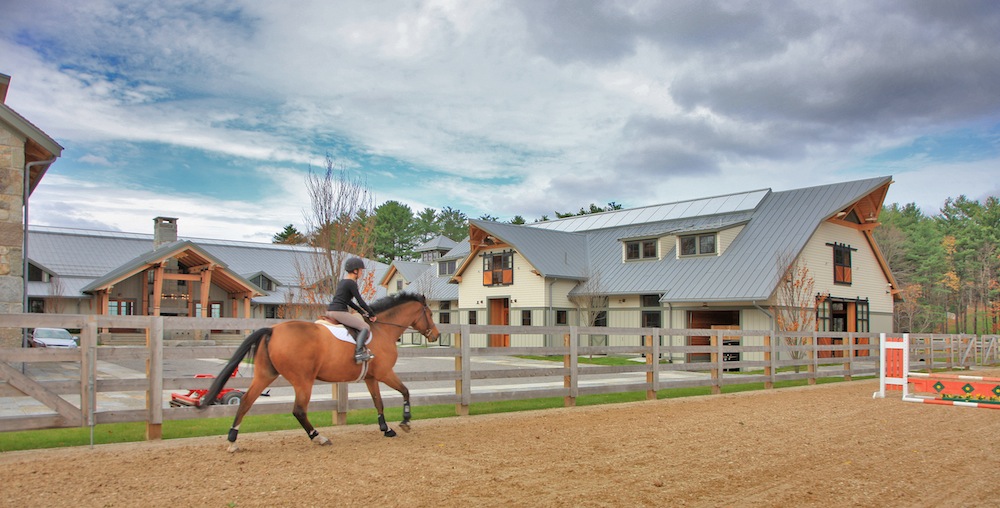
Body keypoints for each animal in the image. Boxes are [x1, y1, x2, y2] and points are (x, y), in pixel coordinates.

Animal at [197, 292, 440, 454]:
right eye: (429, 313)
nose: (436, 335)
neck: (382, 328)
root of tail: (273, 330)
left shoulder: (371, 378)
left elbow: (378, 402)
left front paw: (386, 428)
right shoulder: (385, 373)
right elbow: (405, 391)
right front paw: (405, 421)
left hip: (265, 375)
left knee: (246, 401)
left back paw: (232, 441)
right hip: (303, 380)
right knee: (298, 410)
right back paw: (319, 437)